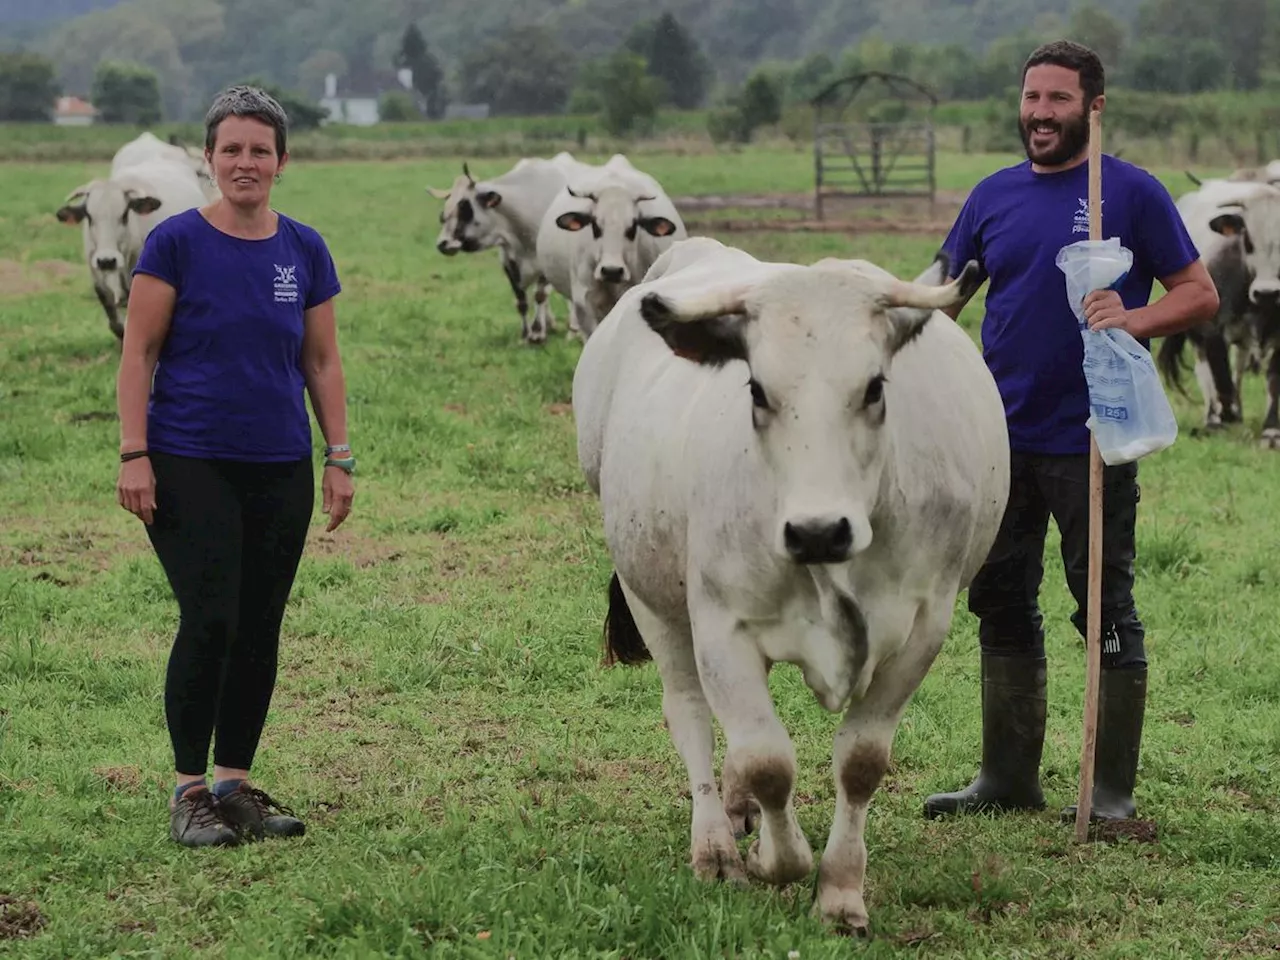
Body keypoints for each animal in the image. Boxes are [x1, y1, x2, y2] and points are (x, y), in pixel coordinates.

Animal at [578, 236, 1008, 936]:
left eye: (874, 387)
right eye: (756, 388)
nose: (817, 530)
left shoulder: (923, 630)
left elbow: (859, 763)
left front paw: (839, 893)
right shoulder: (719, 626)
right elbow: (769, 763)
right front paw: (774, 861)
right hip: (653, 600)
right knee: (690, 713)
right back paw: (714, 845)